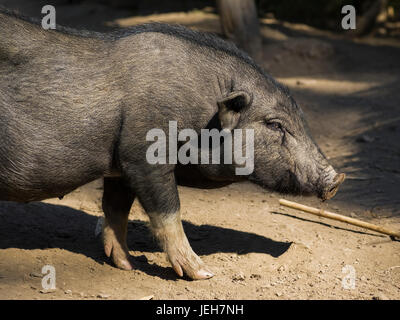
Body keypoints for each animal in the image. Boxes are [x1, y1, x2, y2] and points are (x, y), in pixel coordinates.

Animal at [0, 7, 344, 280]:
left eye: (301, 118)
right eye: (275, 124)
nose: (337, 178)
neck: (203, 111)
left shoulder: (121, 163)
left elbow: (115, 208)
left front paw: (129, 265)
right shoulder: (143, 155)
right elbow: (168, 211)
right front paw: (203, 273)